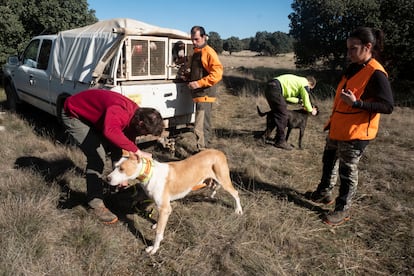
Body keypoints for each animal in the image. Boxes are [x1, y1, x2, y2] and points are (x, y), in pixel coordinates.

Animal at [106, 149, 243, 254]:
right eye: (115, 166)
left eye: (122, 169)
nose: (107, 178)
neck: (149, 173)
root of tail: (219, 152)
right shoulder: (162, 207)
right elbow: (158, 223)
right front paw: (156, 224)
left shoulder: (165, 208)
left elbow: (159, 232)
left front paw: (154, 249)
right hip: (210, 180)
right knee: (214, 187)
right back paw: (211, 195)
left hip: (224, 180)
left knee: (235, 193)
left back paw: (238, 210)